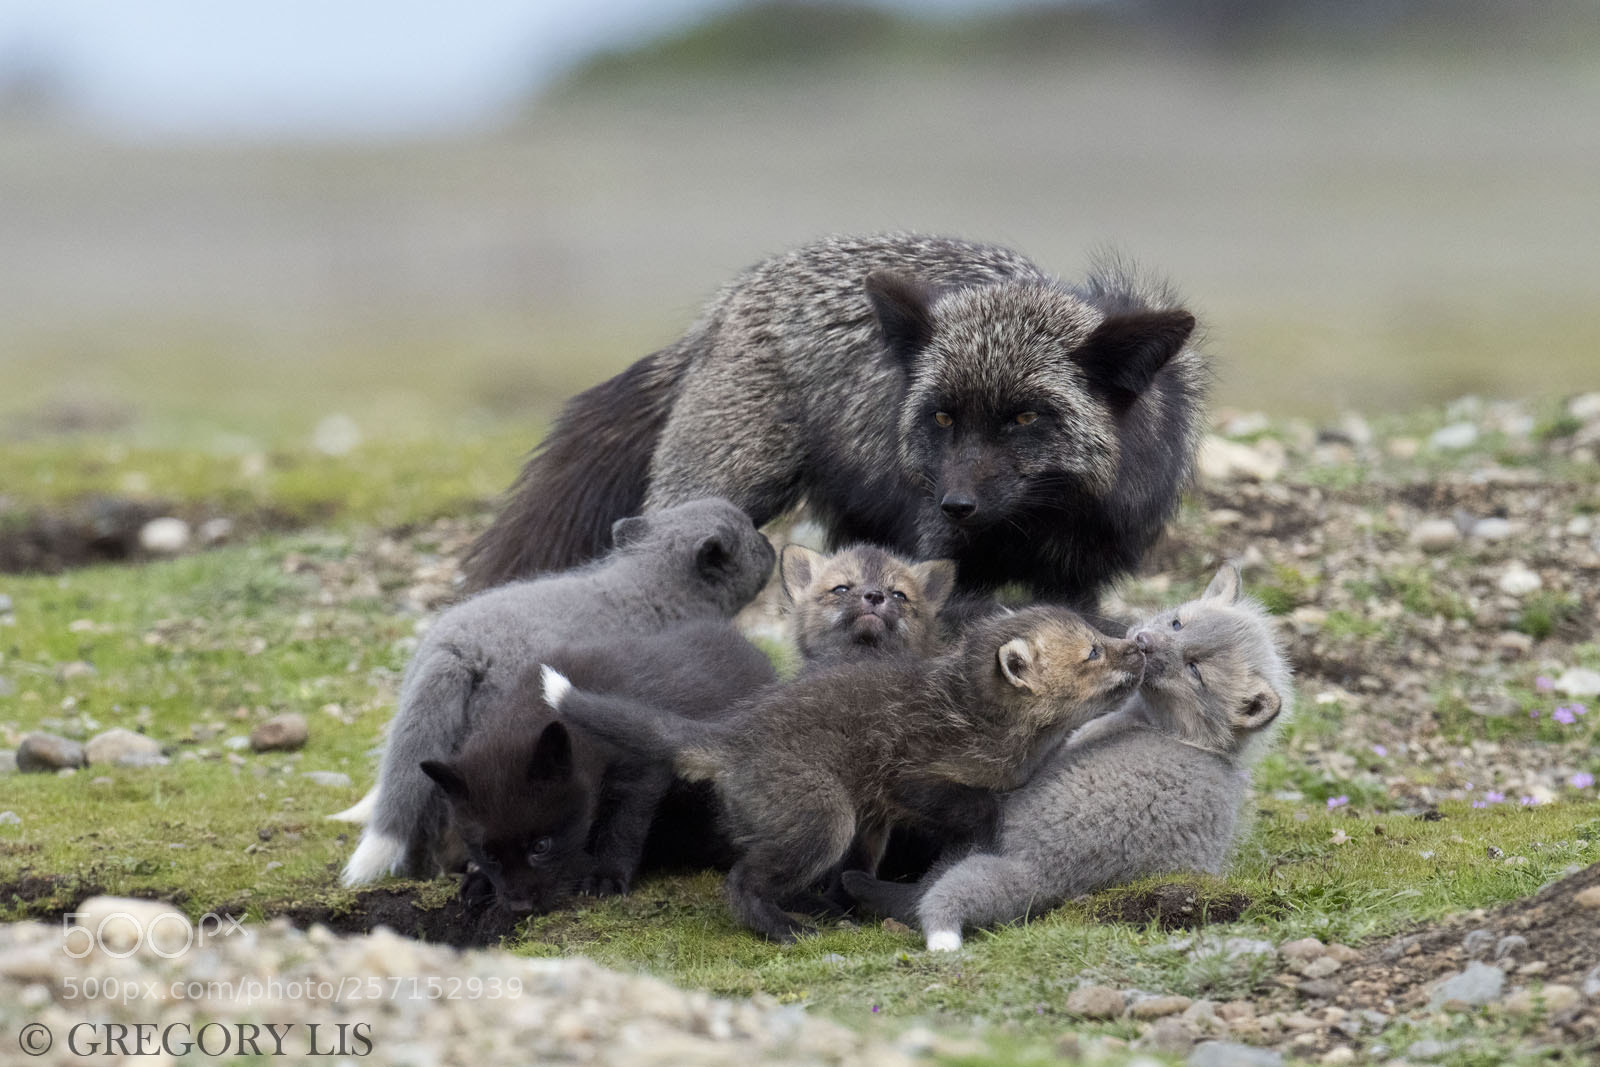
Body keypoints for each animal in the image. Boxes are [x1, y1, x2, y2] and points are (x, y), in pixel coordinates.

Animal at [416, 621, 776, 916]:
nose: (520, 907)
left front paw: (606, 876)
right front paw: (480, 880)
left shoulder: (639, 776)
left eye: (541, 846)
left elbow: (622, 828)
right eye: (489, 854)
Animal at [461, 233, 1209, 611]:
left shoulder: (1079, 584)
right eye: (943, 417)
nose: (956, 504)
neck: (1042, 524)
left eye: (1026, 416)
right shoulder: (947, 568)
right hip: (722, 490)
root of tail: (726, 305)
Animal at [543, 606, 1146, 942]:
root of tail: (732, 739)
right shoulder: (912, 775)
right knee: (742, 880)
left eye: (1100, 637)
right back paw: (784, 929)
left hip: (860, 827)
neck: (979, 717)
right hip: (825, 817)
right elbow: (979, 806)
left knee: (827, 879)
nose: (1141, 644)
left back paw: (829, 910)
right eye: (1093, 651)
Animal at [843, 563, 1292, 951]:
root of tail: (1051, 873)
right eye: (1178, 623)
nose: (1144, 643)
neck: (1189, 739)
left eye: (1195, 670)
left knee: (935, 895)